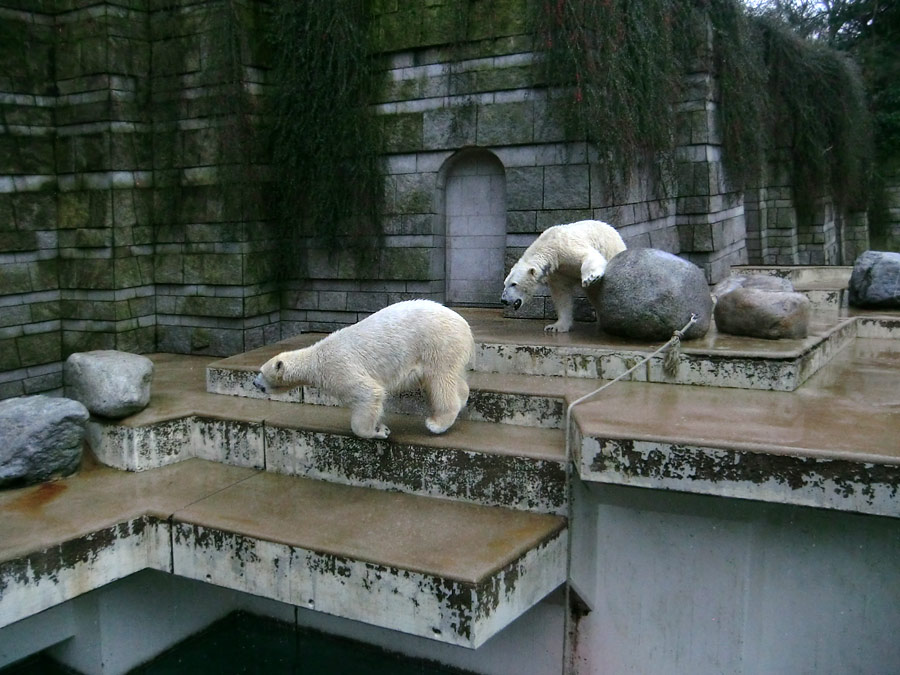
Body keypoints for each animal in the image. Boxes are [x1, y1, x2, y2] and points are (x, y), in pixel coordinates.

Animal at [250, 300, 474, 438]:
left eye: (261, 372)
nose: (254, 382)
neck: (316, 357)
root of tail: (465, 324)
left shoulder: (339, 368)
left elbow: (368, 393)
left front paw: (379, 431)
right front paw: (380, 427)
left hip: (437, 345)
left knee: (441, 381)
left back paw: (437, 423)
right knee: (455, 379)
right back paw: (461, 400)